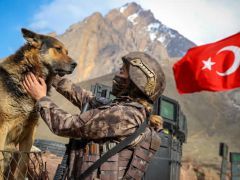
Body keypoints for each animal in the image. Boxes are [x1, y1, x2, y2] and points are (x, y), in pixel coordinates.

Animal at [0, 28, 77, 179]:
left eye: (67, 51)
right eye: (58, 49)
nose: (75, 64)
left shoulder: (29, 132)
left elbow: (23, 166)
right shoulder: (3, 127)